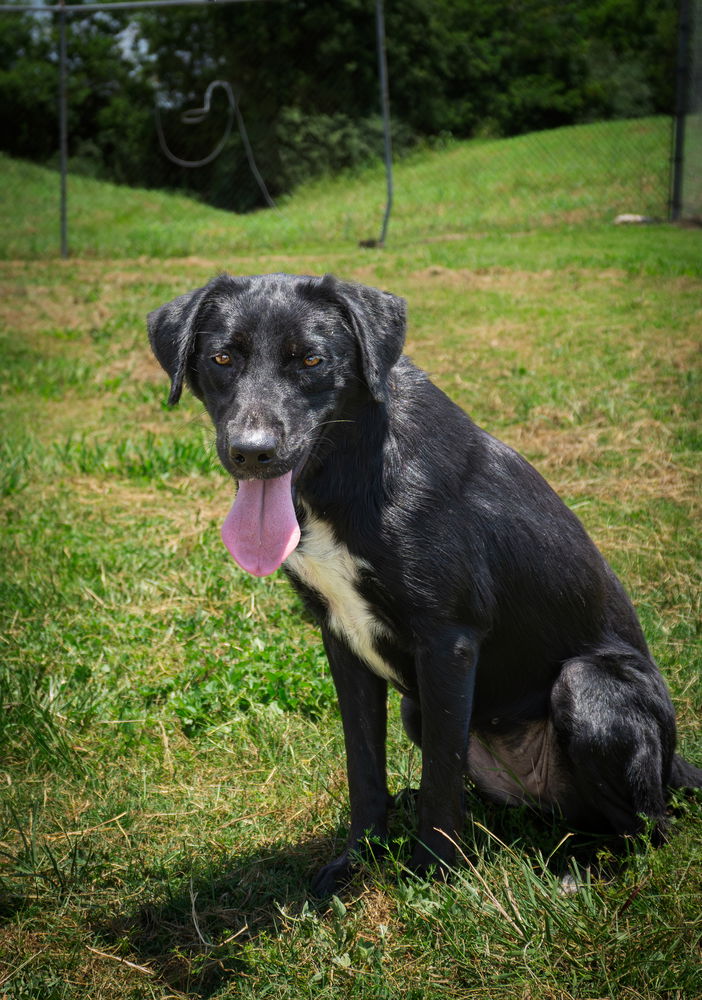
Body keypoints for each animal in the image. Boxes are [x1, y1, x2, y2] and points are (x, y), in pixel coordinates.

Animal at [147, 270, 700, 896]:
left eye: (311, 359)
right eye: (222, 357)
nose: (252, 453)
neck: (350, 469)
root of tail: (675, 762)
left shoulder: (447, 641)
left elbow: (441, 769)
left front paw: (434, 872)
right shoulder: (342, 639)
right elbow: (364, 767)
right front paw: (358, 860)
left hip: (588, 688)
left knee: (648, 827)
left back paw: (578, 870)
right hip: (424, 711)